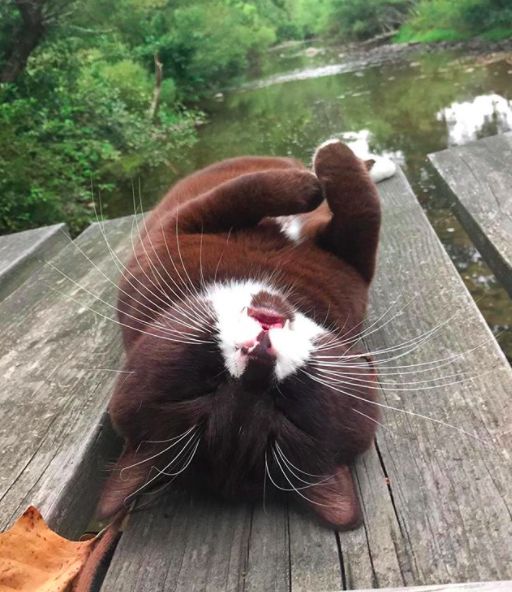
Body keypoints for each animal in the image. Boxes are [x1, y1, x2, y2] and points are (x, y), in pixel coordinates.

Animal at [97, 140, 396, 532]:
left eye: (286, 410)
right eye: (204, 389)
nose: (259, 356)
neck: (267, 281)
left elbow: (353, 214)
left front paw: (322, 171)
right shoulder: (174, 231)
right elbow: (355, 212)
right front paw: (321, 169)